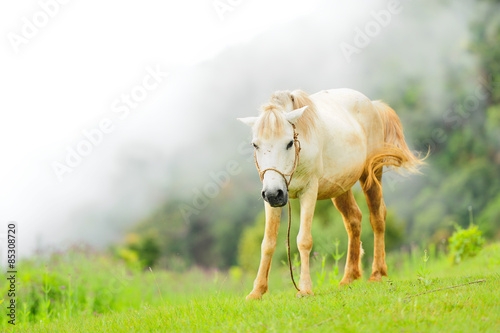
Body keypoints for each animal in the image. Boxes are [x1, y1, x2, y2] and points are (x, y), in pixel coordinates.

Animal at [238, 88, 422, 298]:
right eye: (255, 145)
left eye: (289, 143)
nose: (273, 193)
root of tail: (372, 105)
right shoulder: (272, 198)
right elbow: (267, 243)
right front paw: (257, 291)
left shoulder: (308, 191)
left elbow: (304, 240)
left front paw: (305, 288)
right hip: (341, 188)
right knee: (354, 220)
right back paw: (349, 277)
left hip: (371, 174)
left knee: (377, 217)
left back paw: (376, 274)